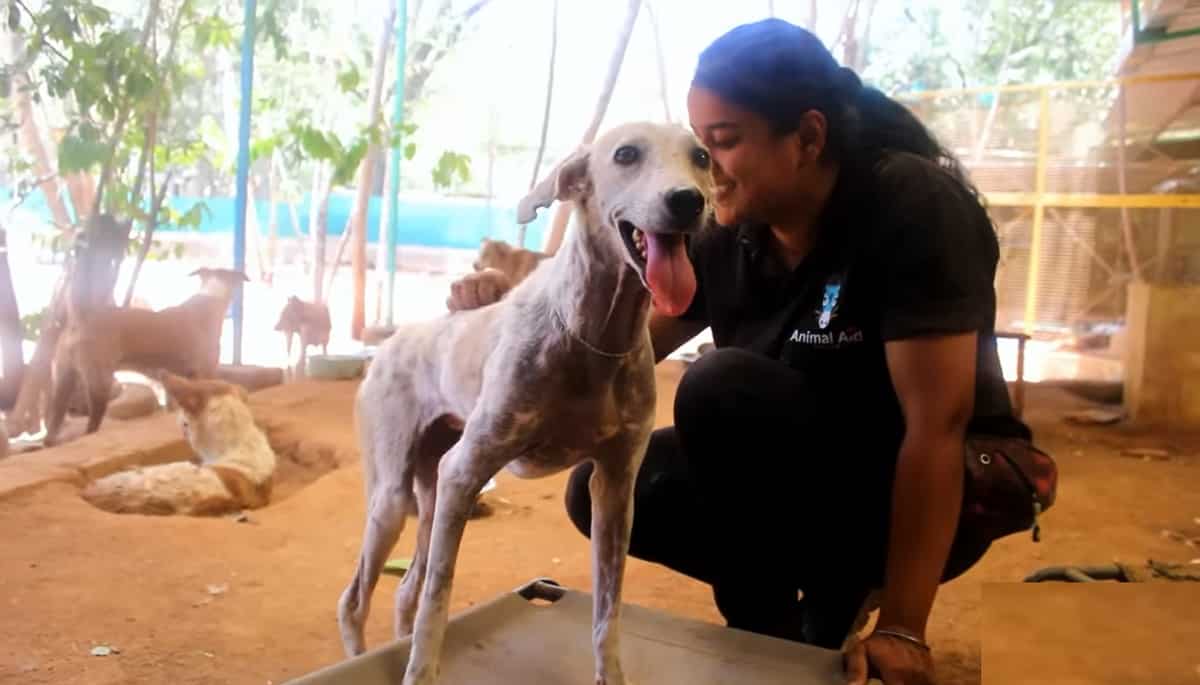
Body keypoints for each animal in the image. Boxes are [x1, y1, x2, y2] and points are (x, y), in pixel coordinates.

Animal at [44, 265, 247, 448]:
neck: (211, 296)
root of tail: (81, 316)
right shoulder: (205, 373)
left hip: (63, 380)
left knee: (53, 425)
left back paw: (50, 442)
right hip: (99, 381)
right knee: (92, 424)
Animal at [338, 123, 710, 685]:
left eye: (702, 157)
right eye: (626, 154)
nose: (689, 201)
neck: (594, 335)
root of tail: (389, 343)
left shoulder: (615, 489)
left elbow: (607, 615)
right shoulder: (465, 470)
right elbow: (437, 604)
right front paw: (422, 670)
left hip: (431, 497)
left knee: (404, 592)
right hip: (394, 500)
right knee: (358, 600)